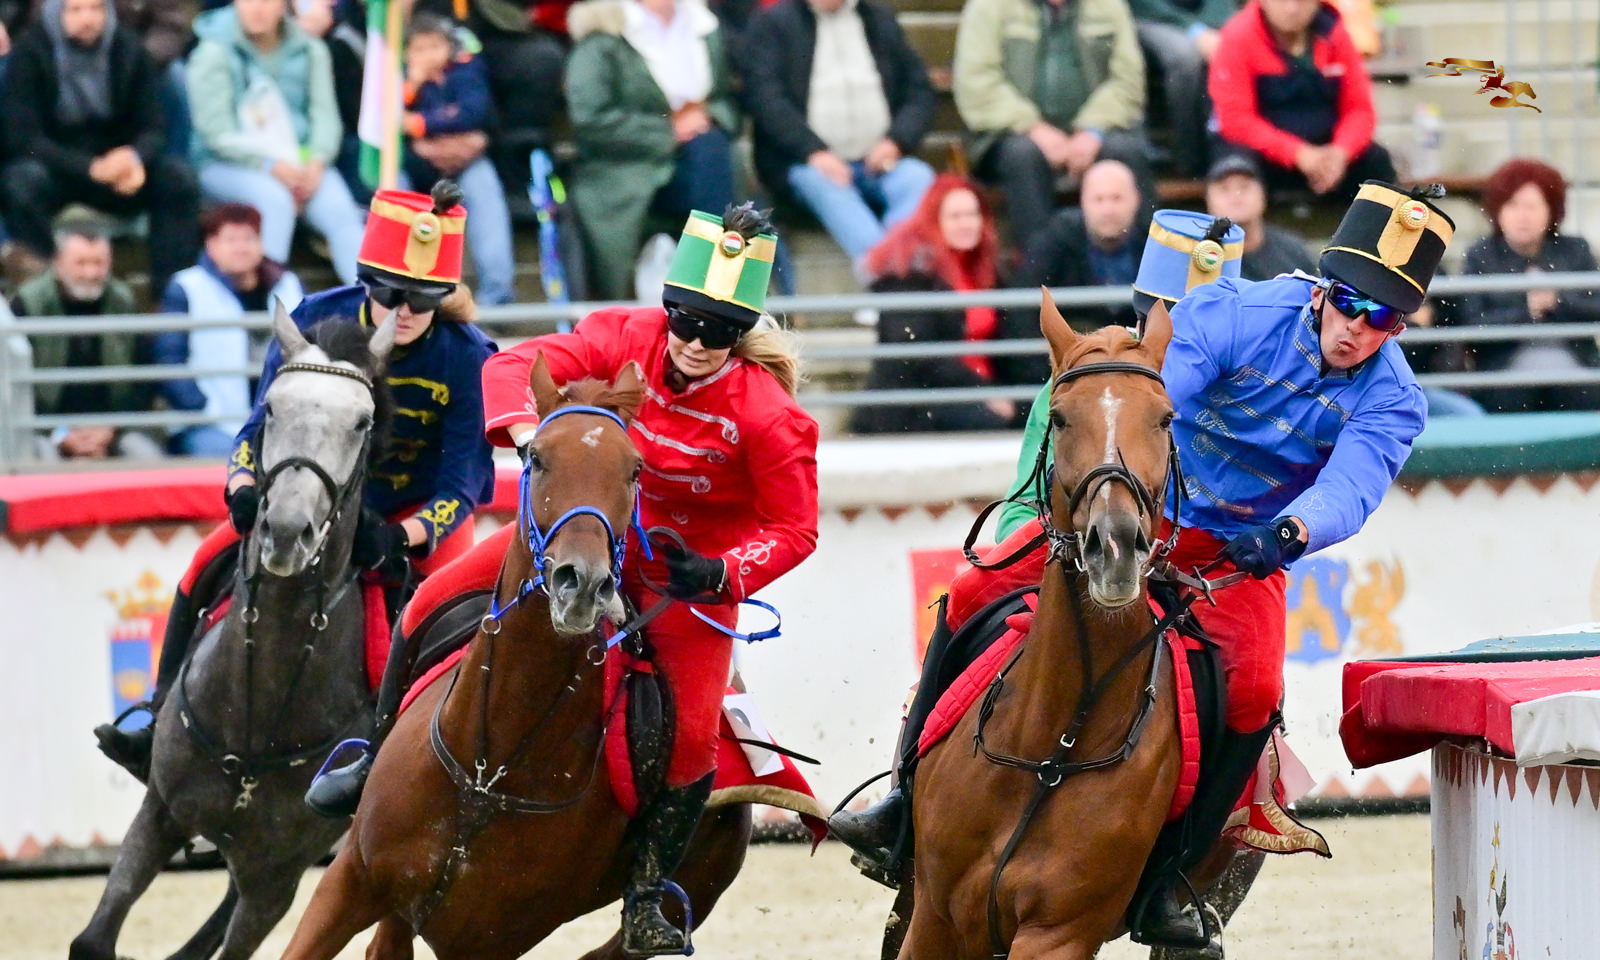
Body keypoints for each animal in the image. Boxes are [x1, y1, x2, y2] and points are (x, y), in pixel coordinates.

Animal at [70, 303, 396, 960]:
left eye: (362, 422)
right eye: (270, 406)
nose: (287, 530)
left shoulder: (275, 879)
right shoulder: (159, 814)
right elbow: (94, 941)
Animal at [277, 356, 753, 960]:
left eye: (634, 471)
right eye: (536, 457)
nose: (583, 583)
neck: (491, 770)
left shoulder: (489, 938)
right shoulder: (350, 883)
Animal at [892, 292, 1258, 960]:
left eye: (1165, 419)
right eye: (1059, 419)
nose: (1113, 546)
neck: (1054, 742)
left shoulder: (1057, 934)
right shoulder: (935, 917)